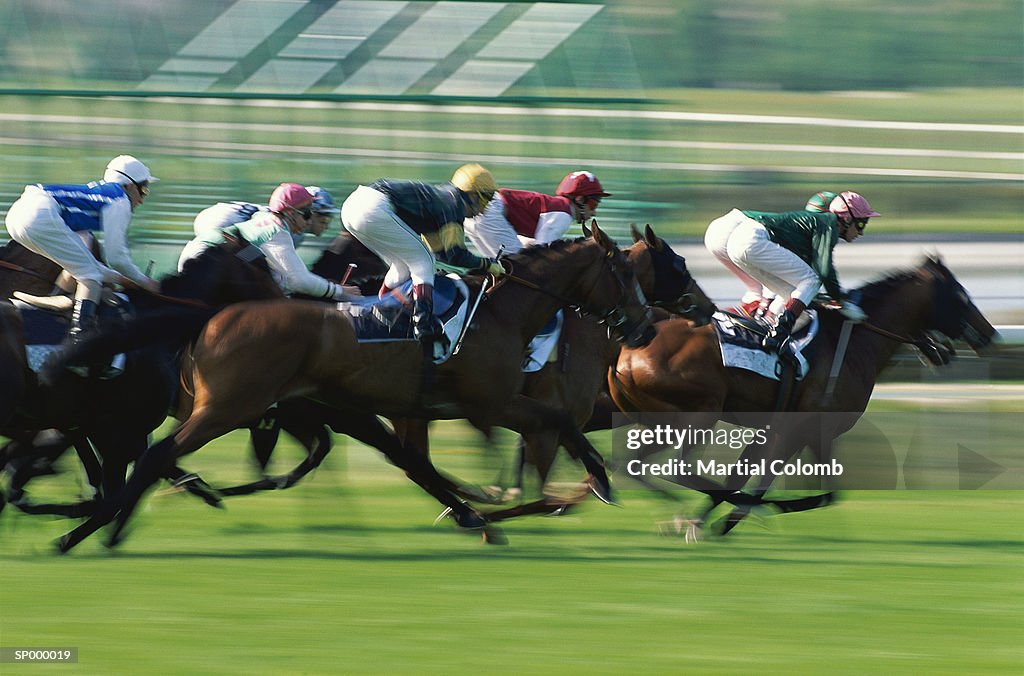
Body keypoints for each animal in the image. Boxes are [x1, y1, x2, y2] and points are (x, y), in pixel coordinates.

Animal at [58, 224, 655, 553]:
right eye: (626, 275)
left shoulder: (405, 410)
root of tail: (212, 316)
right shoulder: (490, 402)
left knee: (152, 456)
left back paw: (97, 529)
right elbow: (559, 421)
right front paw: (599, 480)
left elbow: (419, 463)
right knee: (157, 454)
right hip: (229, 406)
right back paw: (92, 531)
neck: (503, 310)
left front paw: (479, 512)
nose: (646, 327)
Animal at [606, 256, 999, 536]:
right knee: (675, 467)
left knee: (631, 464)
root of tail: (626, 356)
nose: (990, 335)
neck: (854, 342)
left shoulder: (781, 429)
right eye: (961, 296)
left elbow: (744, 475)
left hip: (661, 421)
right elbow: (812, 493)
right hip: (698, 414)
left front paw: (705, 522)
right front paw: (729, 517)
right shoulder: (806, 429)